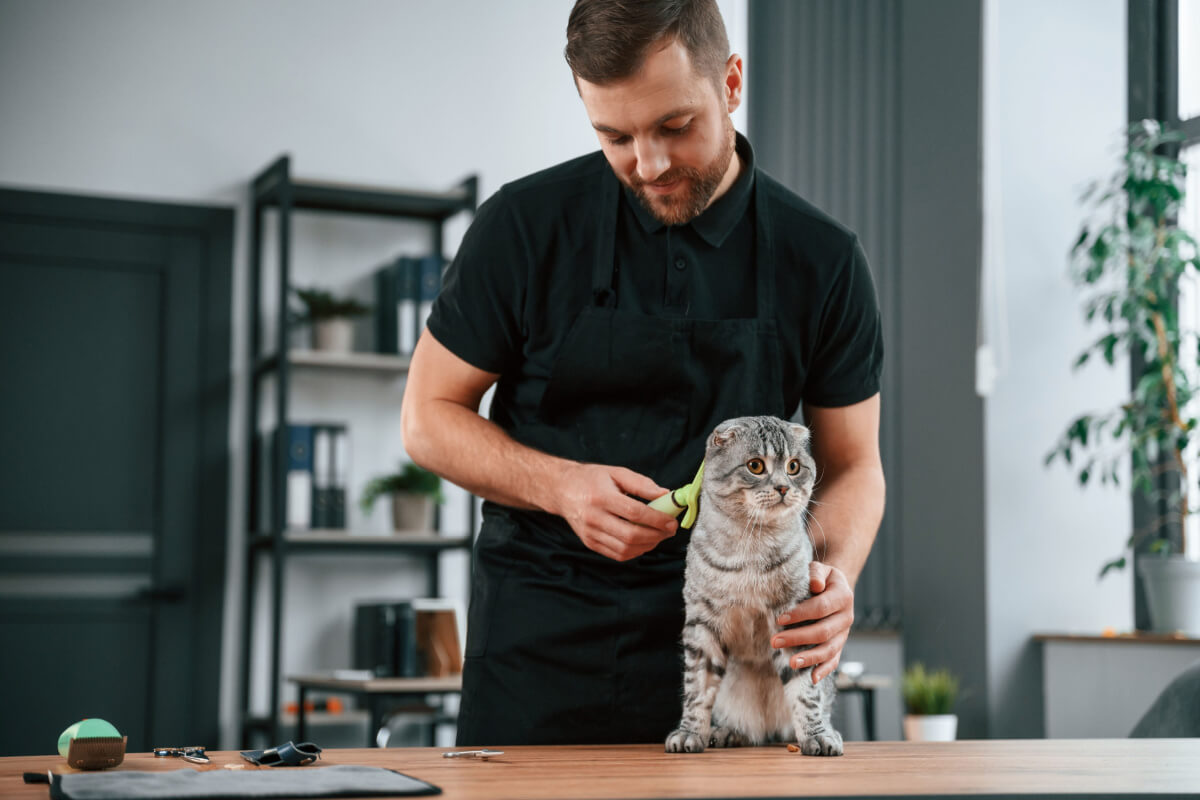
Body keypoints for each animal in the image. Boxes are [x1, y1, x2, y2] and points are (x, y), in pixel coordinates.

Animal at [667, 419, 844, 758]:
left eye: (793, 467)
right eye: (756, 466)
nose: (783, 487)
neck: (752, 544)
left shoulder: (795, 621)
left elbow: (806, 692)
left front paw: (817, 736)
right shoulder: (702, 625)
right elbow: (696, 689)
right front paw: (689, 732)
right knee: (746, 728)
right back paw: (726, 733)